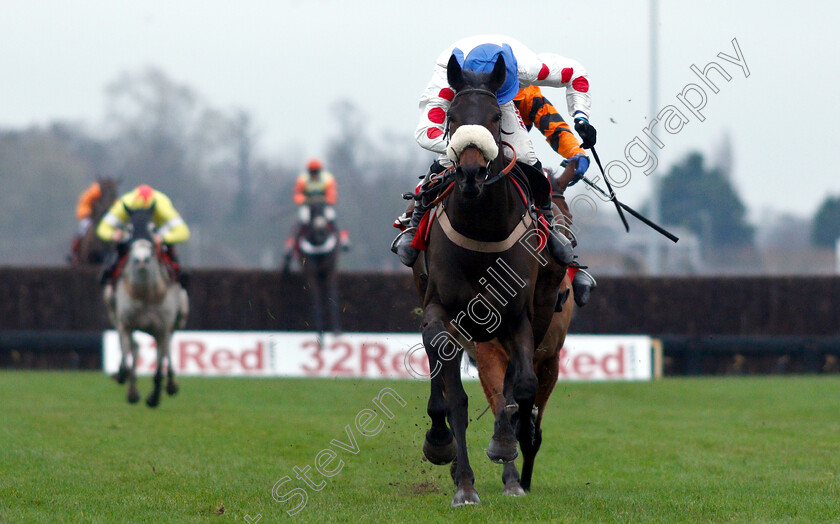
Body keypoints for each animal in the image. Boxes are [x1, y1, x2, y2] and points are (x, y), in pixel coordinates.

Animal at [109, 207, 188, 408]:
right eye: (129, 229)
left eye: (153, 228)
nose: (141, 260)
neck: (145, 293)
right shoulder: (126, 324)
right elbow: (127, 354)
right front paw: (129, 387)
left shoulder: (162, 327)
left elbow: (159, 364)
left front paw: (154, 397)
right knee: (134, 348)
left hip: (179, 318)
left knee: (167, 348)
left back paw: (171, 384)